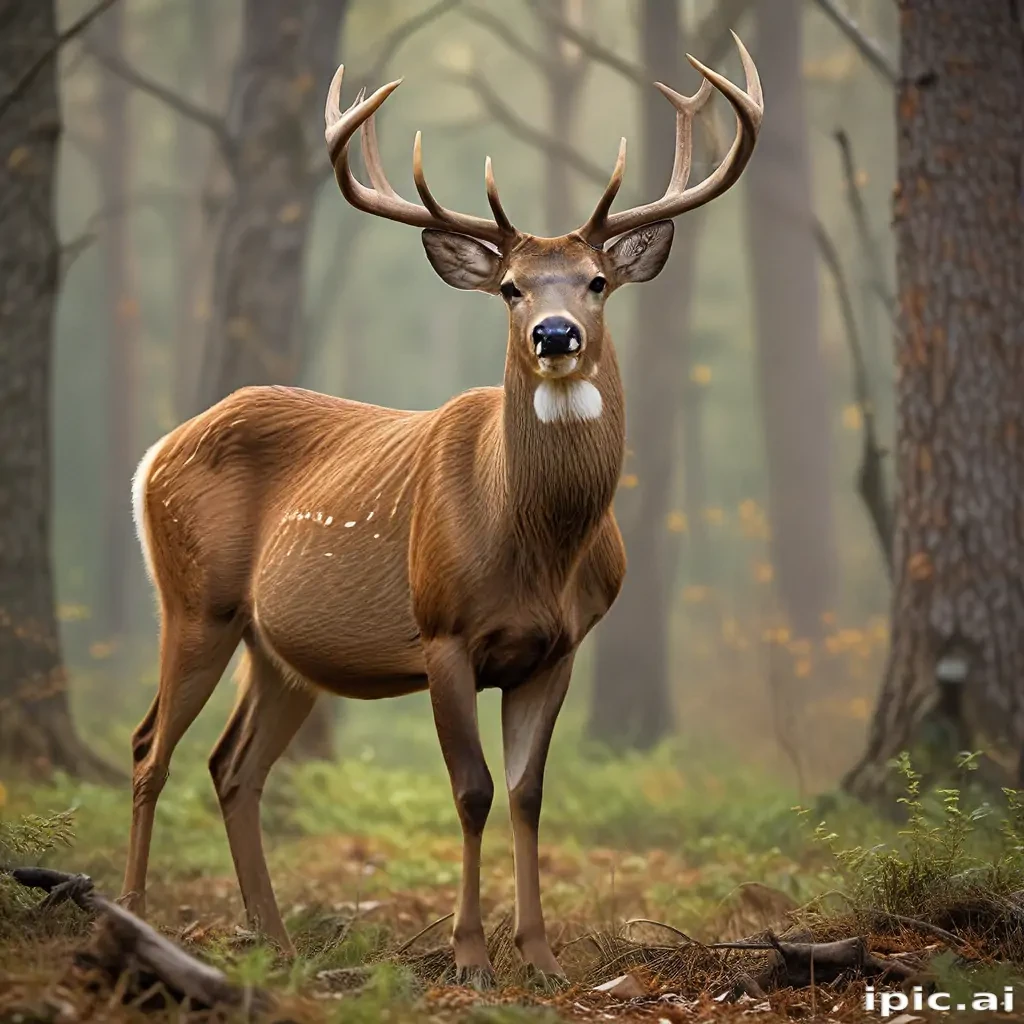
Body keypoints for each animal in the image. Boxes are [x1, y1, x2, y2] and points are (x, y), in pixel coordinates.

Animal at [121, 36, 762, 984]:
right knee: (148, 748)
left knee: (231, 765)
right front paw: (470, 957)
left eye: (597, 280)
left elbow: (529, 793)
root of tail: (155, 453)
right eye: (510, 289)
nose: (556, 336)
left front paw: (541, 957)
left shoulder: (559, 647)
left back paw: (276, 942)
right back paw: (131, 918)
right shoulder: (443, 631)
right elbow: (471, 790)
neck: (535, 545)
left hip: (280, 650)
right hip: (194, 599)